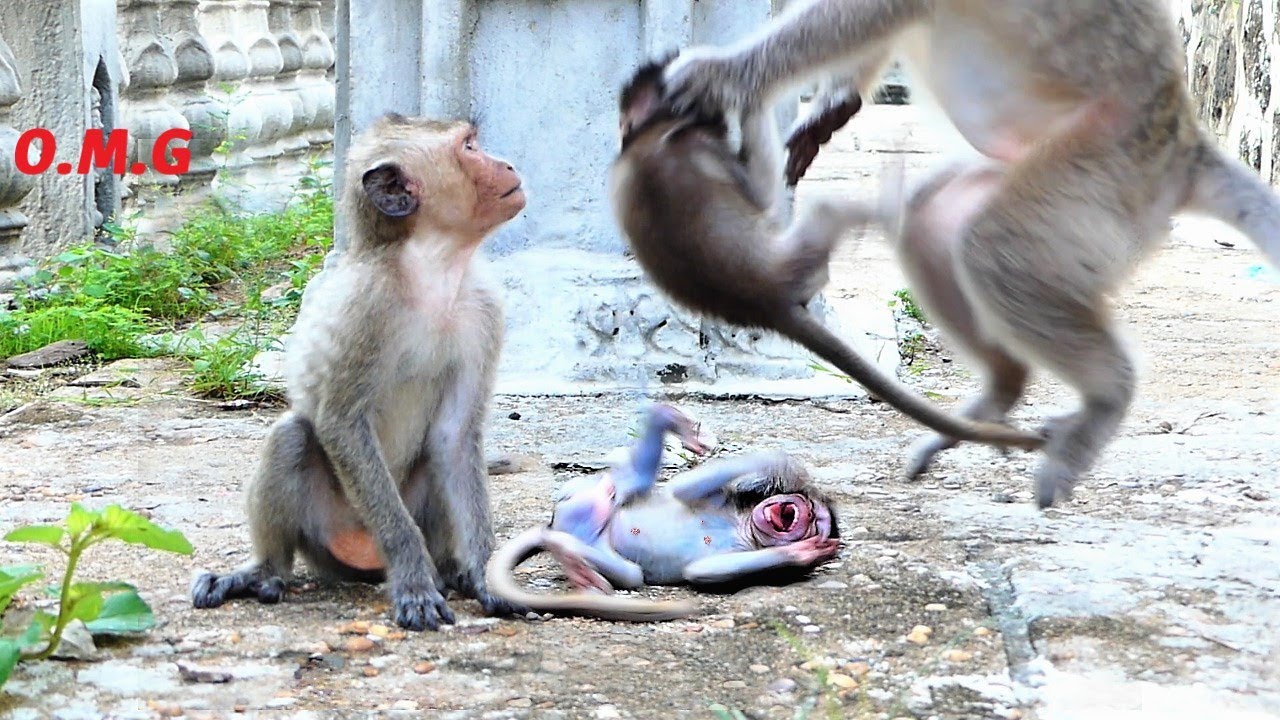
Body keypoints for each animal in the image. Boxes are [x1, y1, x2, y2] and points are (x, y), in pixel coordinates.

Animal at [190, 113, 528, 630]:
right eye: (469, 147)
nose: (506, 163)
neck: (431, 269)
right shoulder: (367, 306)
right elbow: (341, 422)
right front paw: (413, 582)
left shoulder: (484, 309)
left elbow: (453, 436)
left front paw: (486, 574)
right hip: (326, 532)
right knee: (292, 436)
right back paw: (263, 571)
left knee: (436, 456)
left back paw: (451, 570)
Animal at [485, 403, 841, 621]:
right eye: (809, 511)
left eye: (815, 522)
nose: (806, 514)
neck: (743, 527)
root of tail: (557, 521)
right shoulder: (724, 500)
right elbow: (685, 487)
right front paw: (782, 467)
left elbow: (701, 573)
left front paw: (803, 554)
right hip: (604, 495)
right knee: (635, 483)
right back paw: (679, 424)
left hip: (592, 534)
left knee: (630, 573)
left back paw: (571, 558)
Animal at [608, 57, 1047, 460]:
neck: (643, 135)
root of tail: (768, 305)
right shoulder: (701, 144)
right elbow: (764, 196)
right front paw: (745, 96)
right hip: (798, 259)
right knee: (828, 210)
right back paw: (892, 204)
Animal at [659, 0, 1280, 507]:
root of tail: (1182, 145)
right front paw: (831, 101)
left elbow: (875, 8)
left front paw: (726, 78)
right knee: (930, 222)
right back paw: (1001, 391)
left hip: (1109, 166)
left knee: (995, 249)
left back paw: (1106, 397)